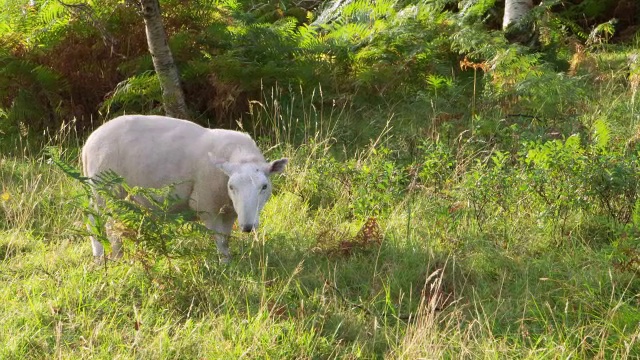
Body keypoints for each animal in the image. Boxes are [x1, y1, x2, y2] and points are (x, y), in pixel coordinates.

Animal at [82, 114, 288, 262]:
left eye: (264, 186)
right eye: (231, 186)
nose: (247, 227)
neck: (240, 155)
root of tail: (88, 143)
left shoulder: (229, 211)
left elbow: (226, 238)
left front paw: (229, 262)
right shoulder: (206, 204)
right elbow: (219, 240)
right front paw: (225, 266)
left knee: (93, 220)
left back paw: (99, 257)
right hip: (108, 191)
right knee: (109, 226)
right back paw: (115, 257)